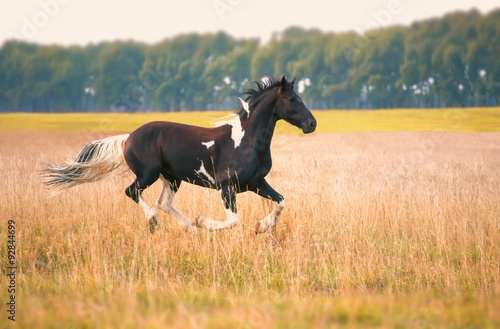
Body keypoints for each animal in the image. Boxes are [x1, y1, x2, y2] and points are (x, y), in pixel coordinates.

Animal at [43, 75, 316, 232]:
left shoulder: (255, 182)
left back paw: (188, 227)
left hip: (172, 178)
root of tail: (128, 138)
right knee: (134, 193)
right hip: (149, 174)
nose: (311, 124)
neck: (246, 141)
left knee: (164, 202)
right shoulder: (226, 186)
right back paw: (157, 221)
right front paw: (203, 222)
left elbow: (281, 201)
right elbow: (233, 220)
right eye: (292, 99)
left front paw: (262, 226)